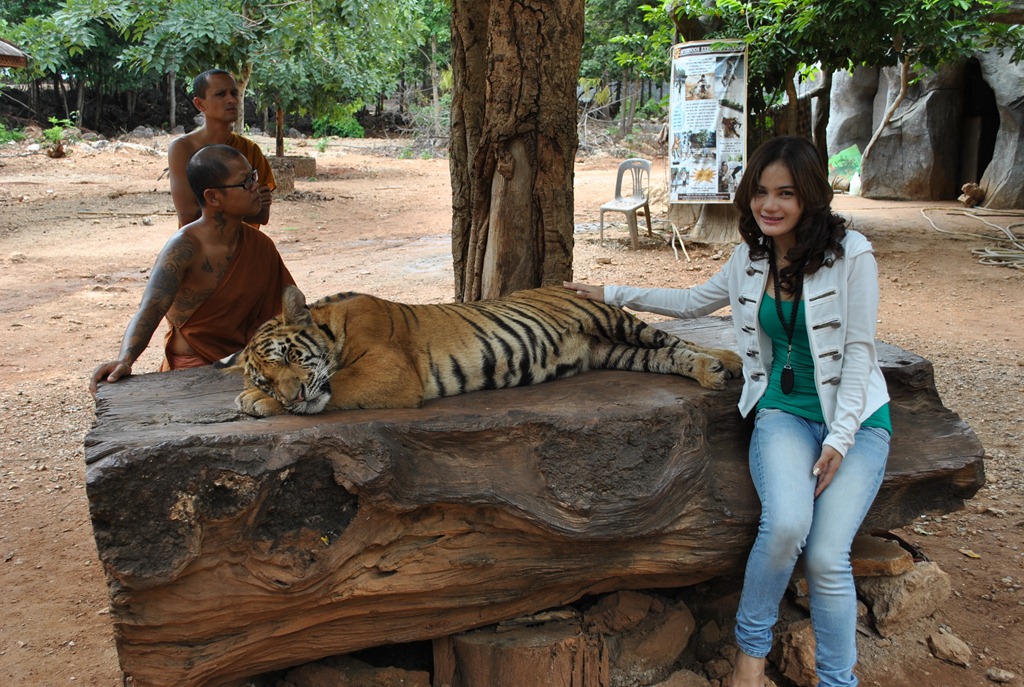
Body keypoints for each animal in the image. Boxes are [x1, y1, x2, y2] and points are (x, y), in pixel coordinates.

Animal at [216, 285, 744, 417]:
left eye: (288, 358)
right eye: (265, 374)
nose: (289, 395)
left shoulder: (391, 369)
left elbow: (336, 385)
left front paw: (256, 404)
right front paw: (254, 399)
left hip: (615, 322)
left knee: (674, 340)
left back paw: (722, 366)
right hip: (614, 352)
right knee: (667, 356)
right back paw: (716, 369)